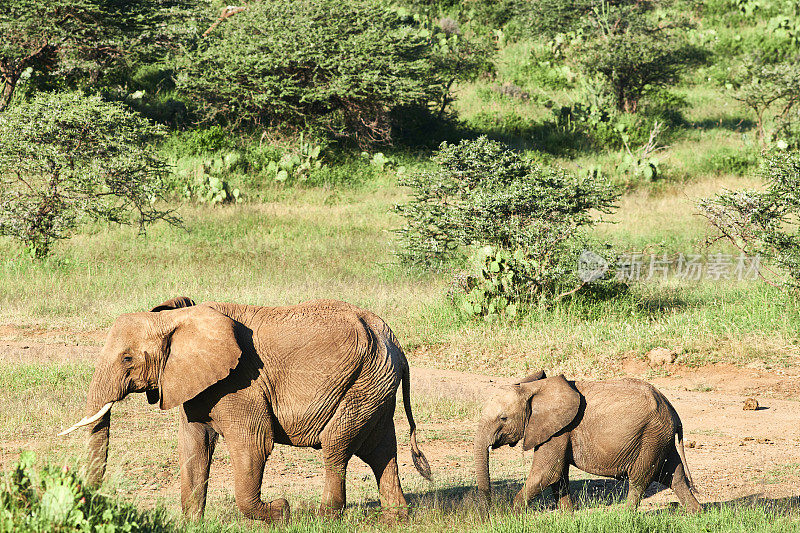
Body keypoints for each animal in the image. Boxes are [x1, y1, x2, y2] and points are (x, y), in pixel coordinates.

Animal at [61, 298, 432, 520]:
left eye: (127, 359)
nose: (89, 502)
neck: (178, 318)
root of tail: (393, 340)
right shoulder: (195, 382)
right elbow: (193, 448)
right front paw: (192, 524)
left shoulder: (240, 383)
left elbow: (252, 445)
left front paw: (280, 511)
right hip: (373, 385)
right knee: (381, 449)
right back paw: (396, 517)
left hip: (362, 383)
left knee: (336, 447)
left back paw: (323, 516)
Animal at [476, 370, 700, 512]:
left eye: (503, 419)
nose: (489, 511)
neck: (535, 388)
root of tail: (673, 411)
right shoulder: (557, 431)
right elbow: (558, 477)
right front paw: (567, 516)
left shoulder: (559, 430)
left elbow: (546, 473)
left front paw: (509, 516)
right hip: (660, 437)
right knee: (674, 475)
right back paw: (696, 513)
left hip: (651, 436)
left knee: (640, 479)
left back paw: (623, 516)